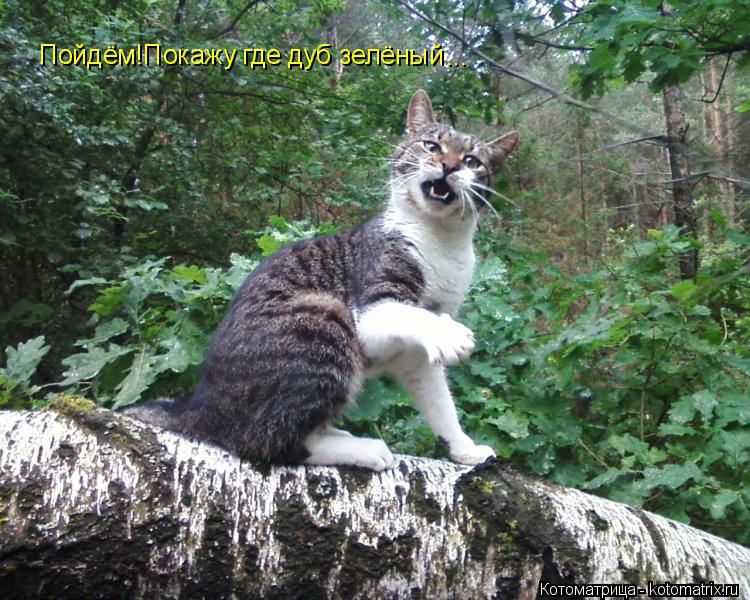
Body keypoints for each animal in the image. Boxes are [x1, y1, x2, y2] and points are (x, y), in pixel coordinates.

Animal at [125, 90, 524, 474]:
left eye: (472, 161)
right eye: (431, 145)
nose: (450, 165)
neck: (441, 242)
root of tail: (199, 408)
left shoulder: (414, 357)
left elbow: (441, 405)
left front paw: (465, 449)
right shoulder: (370, 310)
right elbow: (413, 314)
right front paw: (450, 333)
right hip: (323, 315)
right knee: (262, 441)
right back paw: (364, 448)